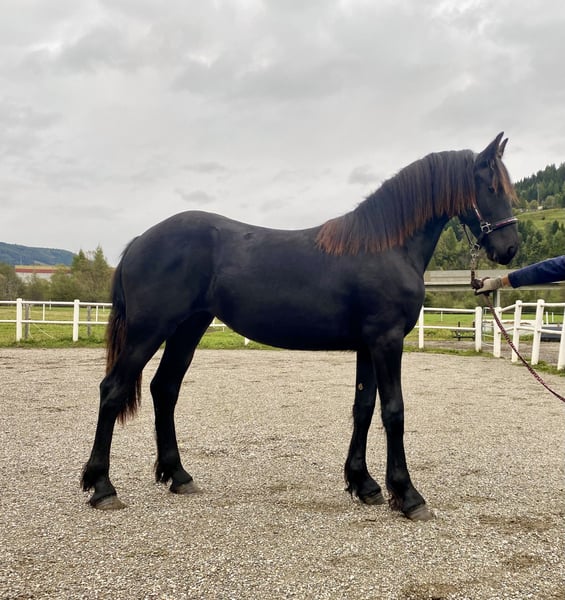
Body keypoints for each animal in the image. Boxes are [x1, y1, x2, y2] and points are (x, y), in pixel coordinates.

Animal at [82, 133, 519, 520]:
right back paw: (102, 487)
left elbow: (363, 408)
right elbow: (393, 411)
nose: (510, 248)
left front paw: (364, 485)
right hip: (148, 331)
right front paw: (408, 496)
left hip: (188, 327)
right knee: (113, 389)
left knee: (165, 389)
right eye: (490, 186)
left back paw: (178, 476)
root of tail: (141, 239)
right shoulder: (387, 340)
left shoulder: (368, 345)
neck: (386, 247)